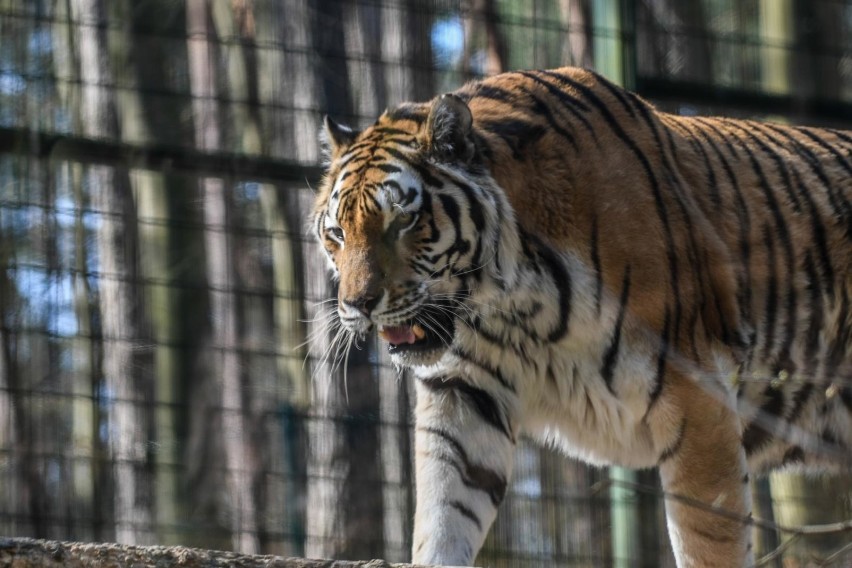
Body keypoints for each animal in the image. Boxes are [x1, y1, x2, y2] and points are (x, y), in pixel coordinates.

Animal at [312, 67, 852, 568]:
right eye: (337, 233)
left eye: (404, 220)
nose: (358, 305)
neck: (509, 306)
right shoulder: (463, 390)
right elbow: (444, 515)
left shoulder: (697, 393)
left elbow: (708, 540)